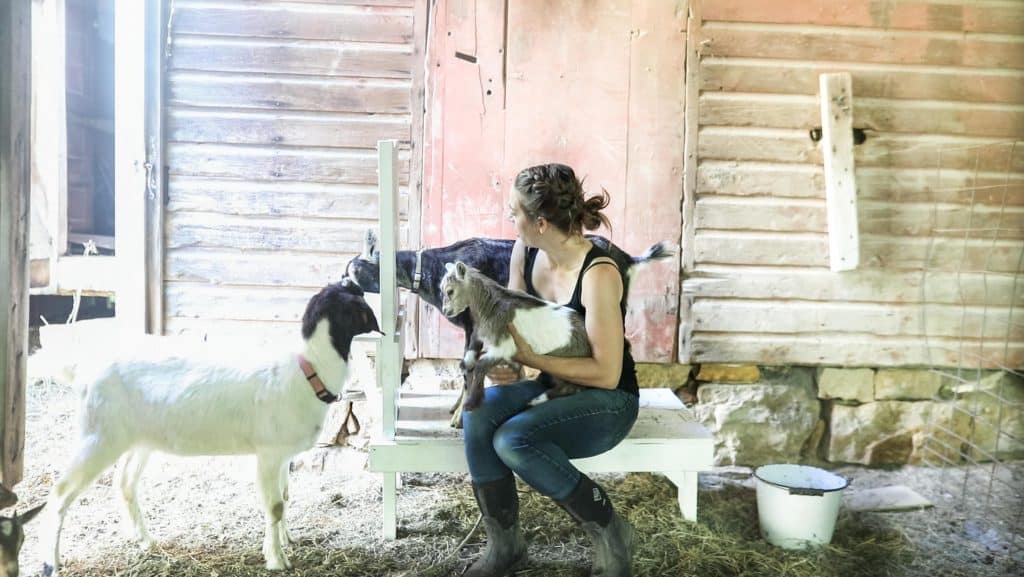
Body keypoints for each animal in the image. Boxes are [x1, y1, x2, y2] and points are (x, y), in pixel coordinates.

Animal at [40, 278, 380, 573]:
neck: (309, 369)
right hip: (97, 437)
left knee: (124, 483)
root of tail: (84, 371)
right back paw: (51, 563)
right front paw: (276, 560)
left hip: (137, 440)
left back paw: (145, 540)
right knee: (59, 494)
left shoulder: (284, 455)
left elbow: (285, 496)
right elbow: (274, 506)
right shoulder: (268, 453)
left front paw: (287, 540)